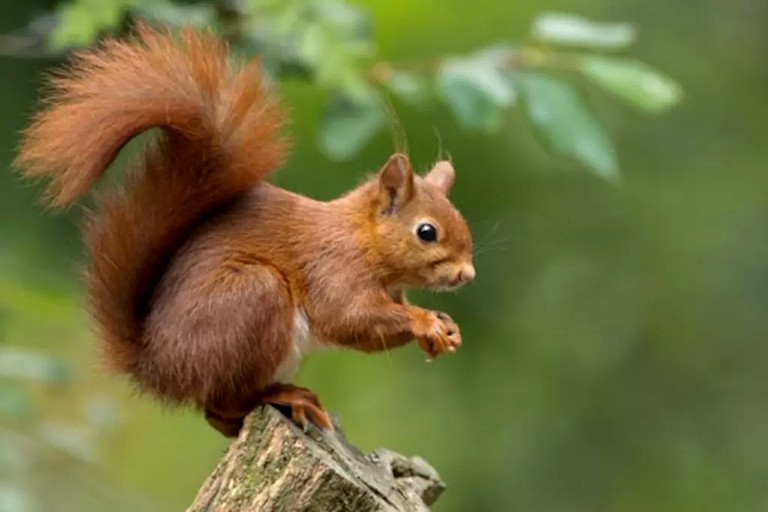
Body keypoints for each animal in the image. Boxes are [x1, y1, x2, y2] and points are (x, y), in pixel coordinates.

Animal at [15, 24, 474, 438]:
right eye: (427, 232)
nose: (467, 274)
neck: (362, 240)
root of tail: (157, 367)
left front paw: (444, 327)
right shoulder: (333, 268)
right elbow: (349, 318)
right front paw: (424, 322)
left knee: (218, 418)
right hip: (253, 300)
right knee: (222, 404)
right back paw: (285, 396)